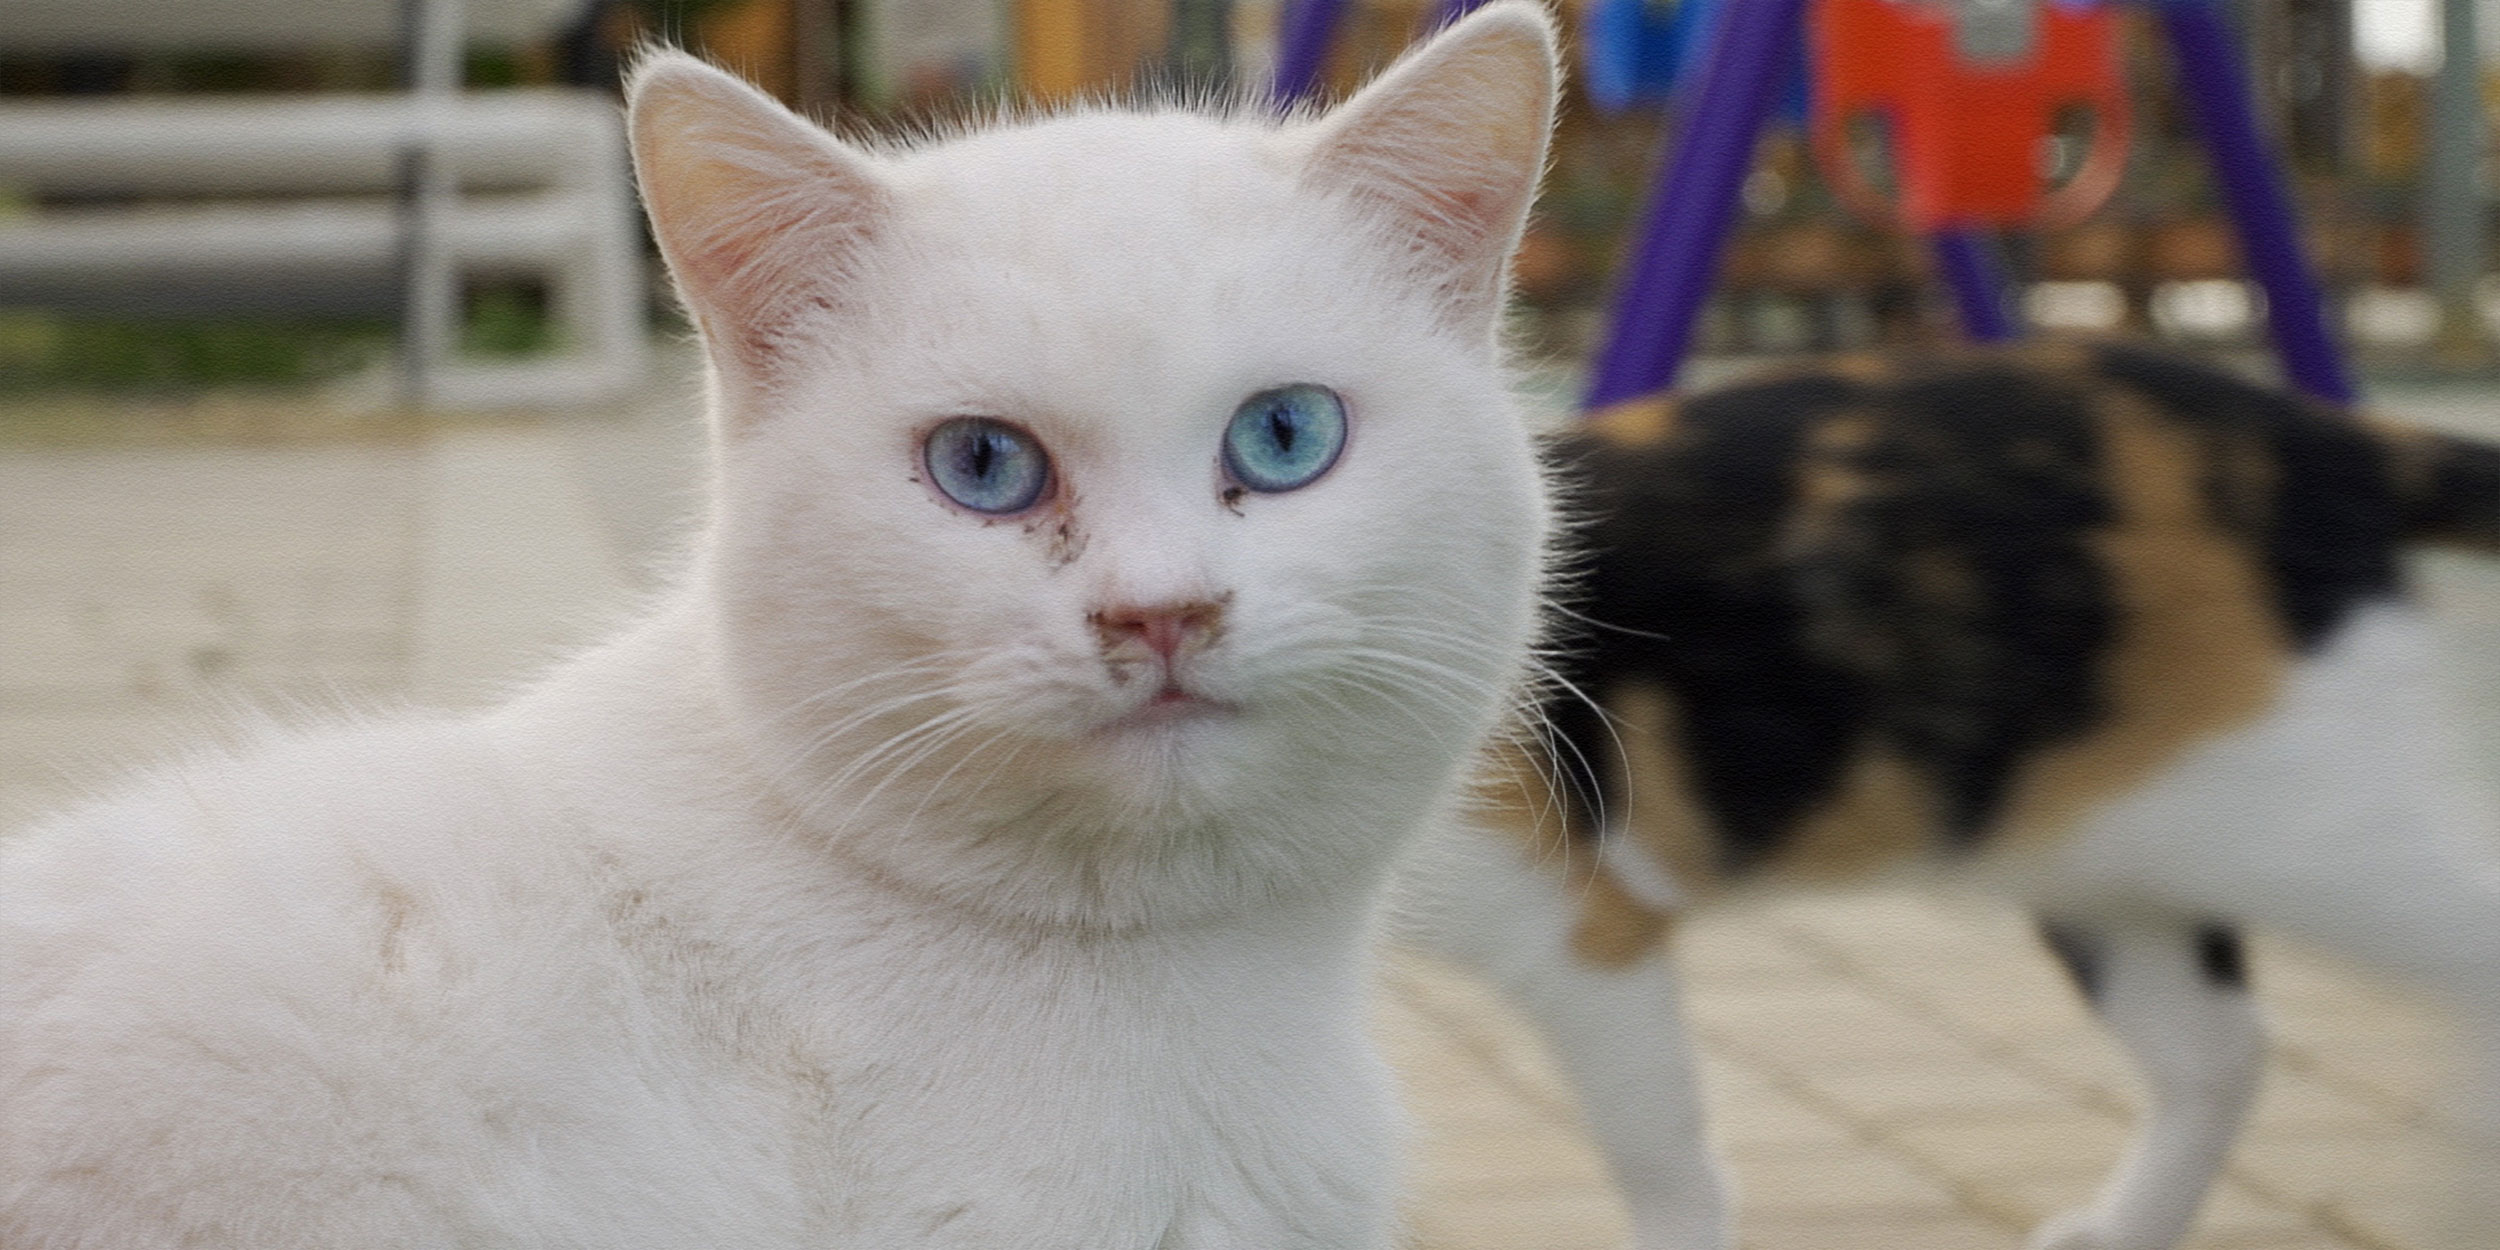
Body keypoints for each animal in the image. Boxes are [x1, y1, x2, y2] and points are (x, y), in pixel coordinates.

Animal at [1400, 337, 2500, 1245]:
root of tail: (2321, 434)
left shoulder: (1579, 929)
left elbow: (1663, 1169)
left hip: (2309, 828)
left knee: (2466, 944)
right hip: (2106, 854)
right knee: (2218, 1049)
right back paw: (2125, 1229)